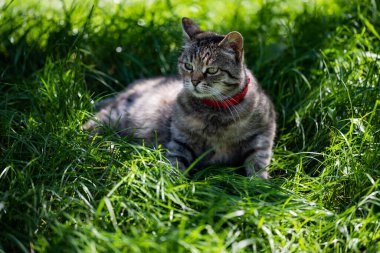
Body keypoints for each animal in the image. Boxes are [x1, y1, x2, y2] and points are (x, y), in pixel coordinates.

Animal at [84, 17, 276, 179]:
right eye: (188, 66)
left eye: (212, 70)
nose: (194, 81)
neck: (215, 111)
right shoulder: (180, 141)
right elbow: (175, 165)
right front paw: (175, 187)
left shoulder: (263, 134)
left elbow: (258, 161)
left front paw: (259, 185)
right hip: (111, 117)